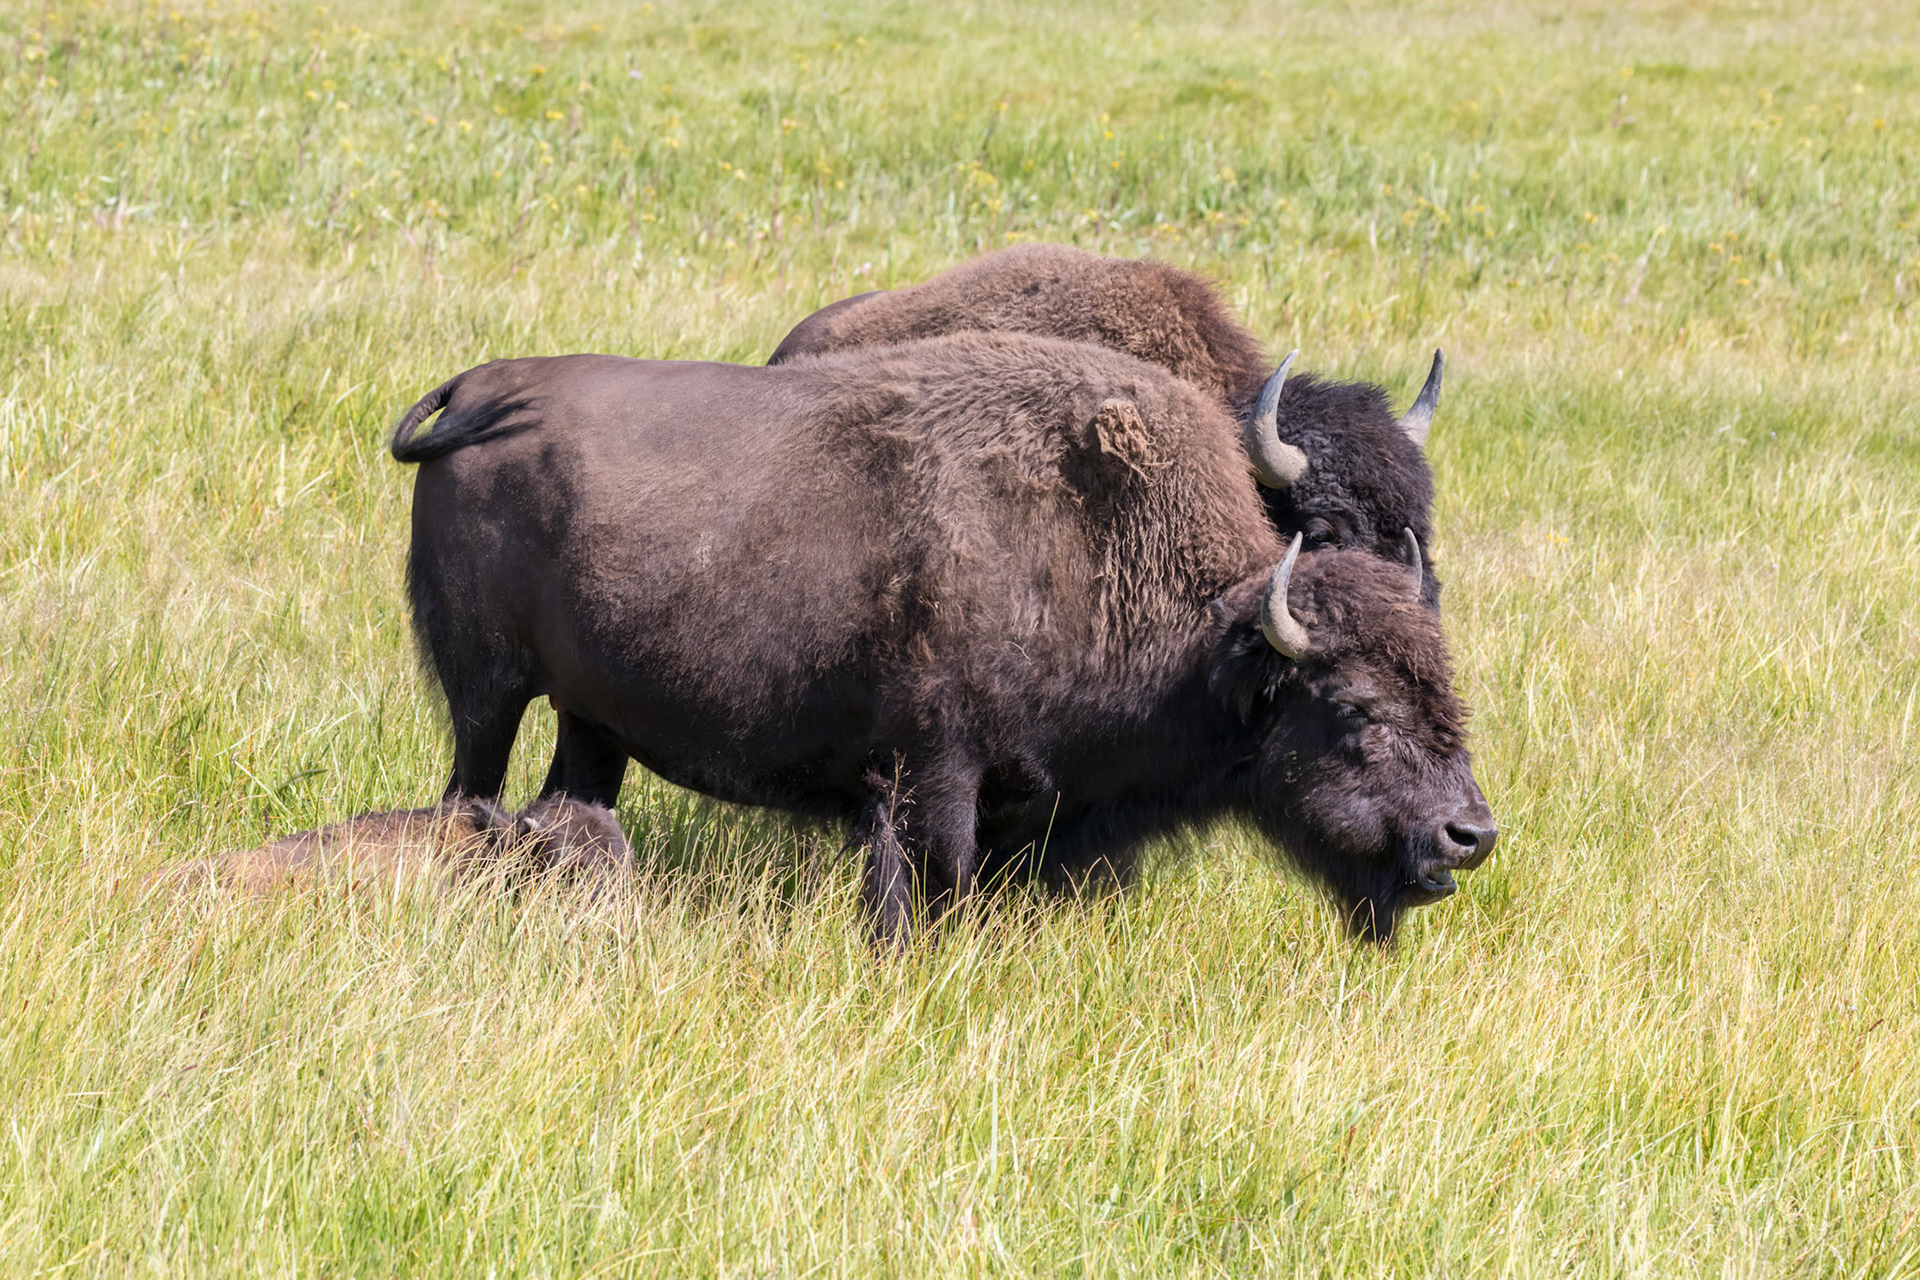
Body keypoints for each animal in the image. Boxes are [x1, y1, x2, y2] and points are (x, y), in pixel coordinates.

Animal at [390, 332, 1494, 943]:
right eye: (1353, 706)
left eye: (1445, 687)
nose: (1470, 835)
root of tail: (483, 391)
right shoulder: (931, 778)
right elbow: (927, 896)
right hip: (486, 696)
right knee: (468, 788)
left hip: (592, 720)